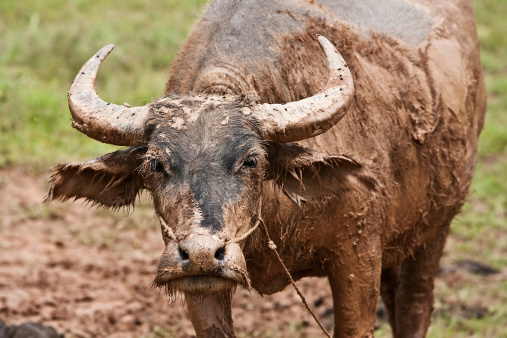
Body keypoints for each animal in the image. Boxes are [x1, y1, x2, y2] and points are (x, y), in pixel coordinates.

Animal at [47, 1, 488, 336]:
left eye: (252, 160)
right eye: (155, 163)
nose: (203, 253)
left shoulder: (358, 255)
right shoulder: (199, 285)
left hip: (435, 229)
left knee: (414, 306)